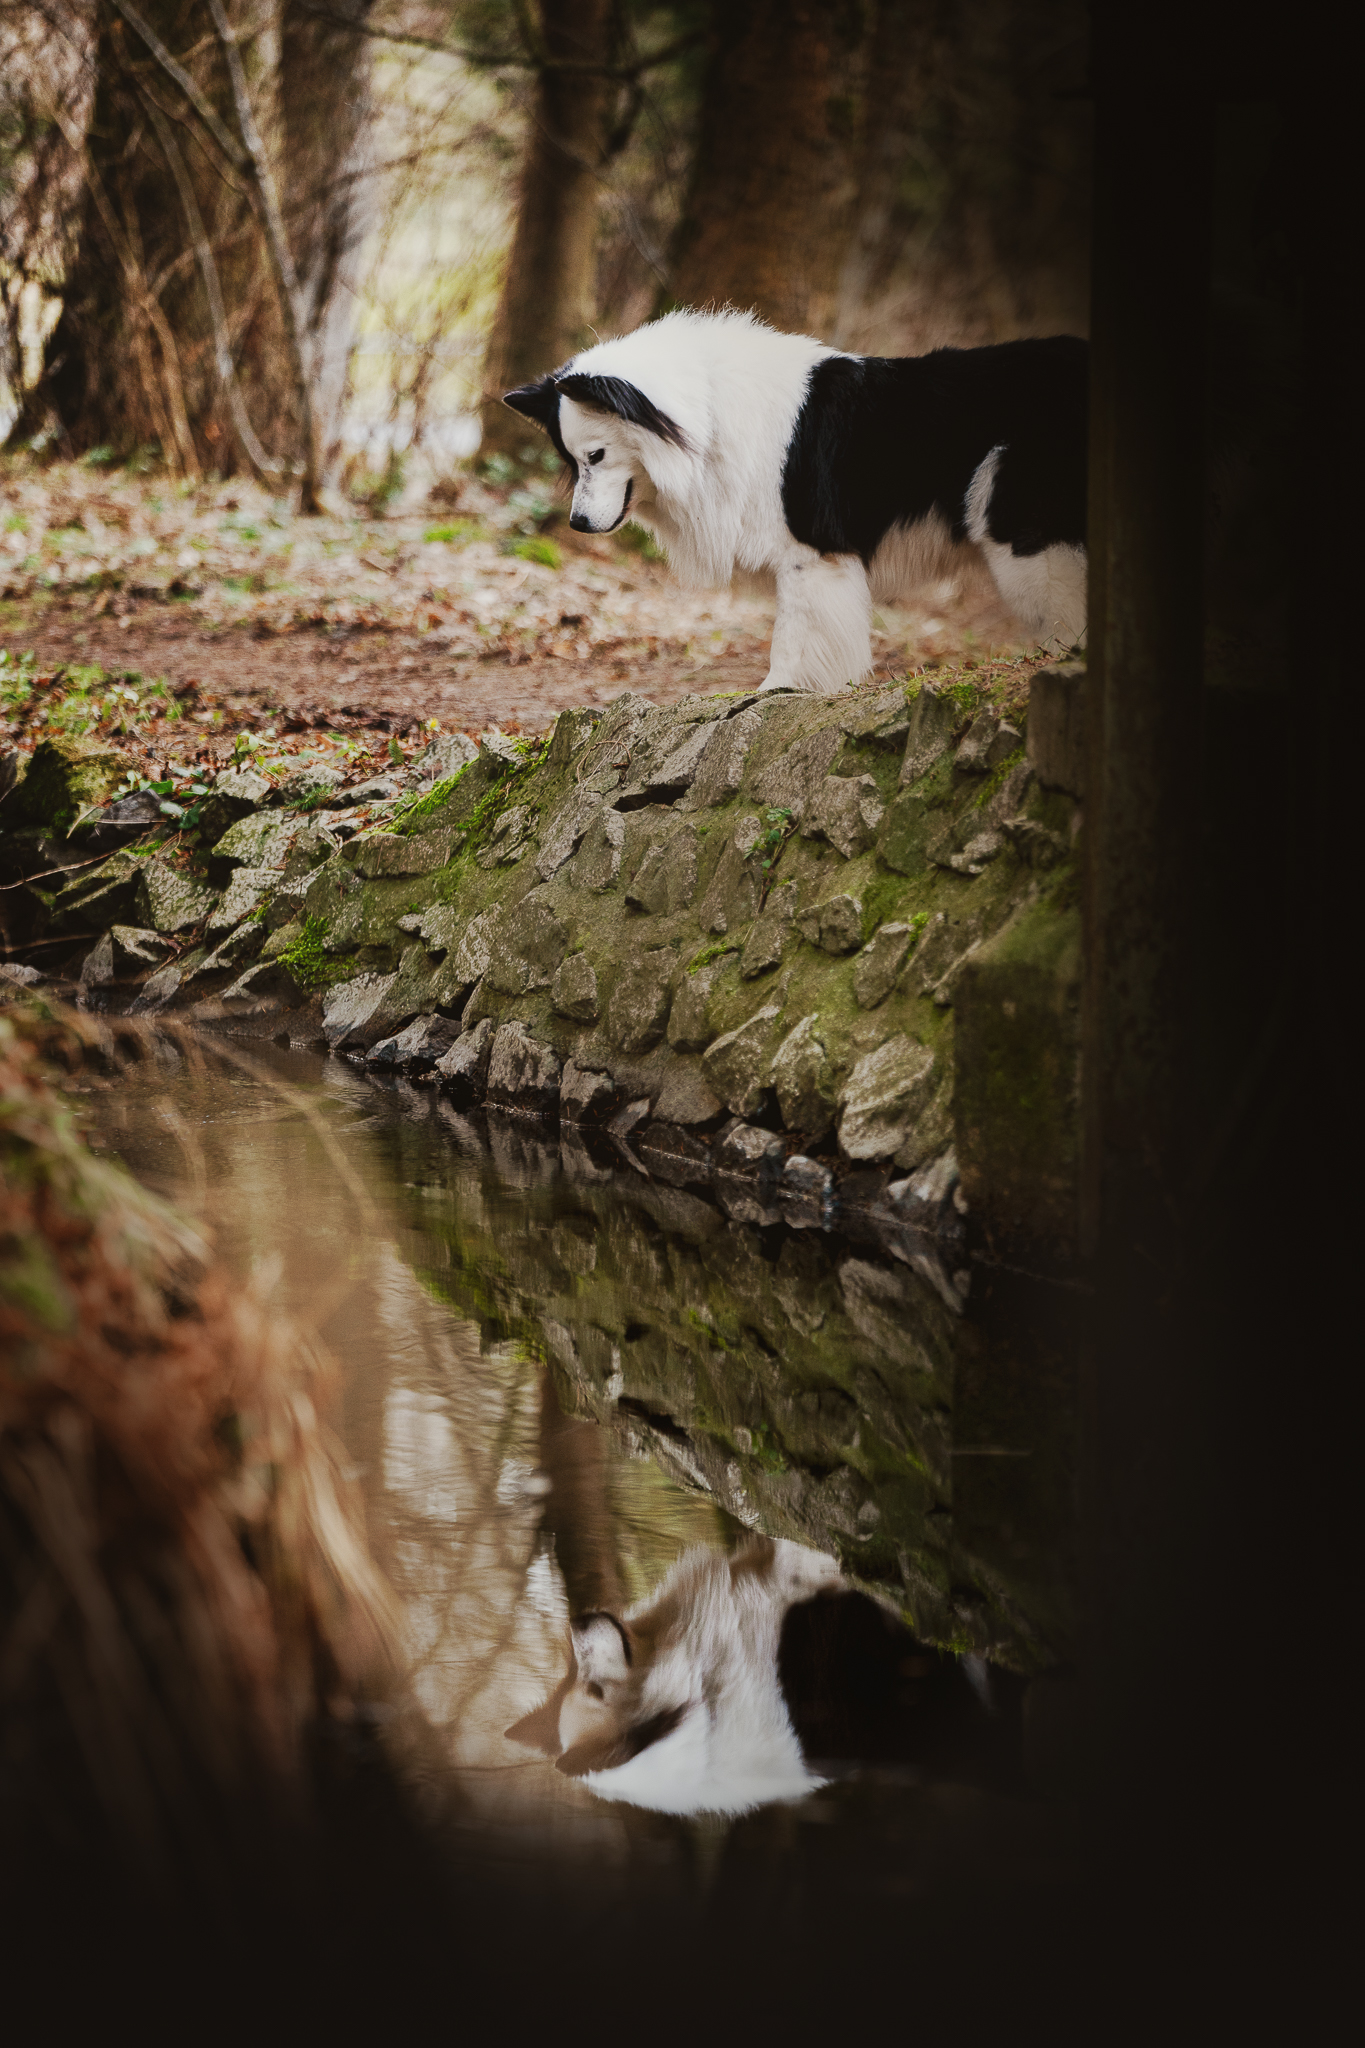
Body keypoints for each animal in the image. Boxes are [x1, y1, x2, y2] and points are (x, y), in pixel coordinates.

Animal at [505, 307, 1088, 696]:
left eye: (597, 455)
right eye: (571, 459)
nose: (579, 524)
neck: (708, 418)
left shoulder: (810, 553)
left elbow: (795, 635)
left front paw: (779, 690)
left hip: (1025, 534)